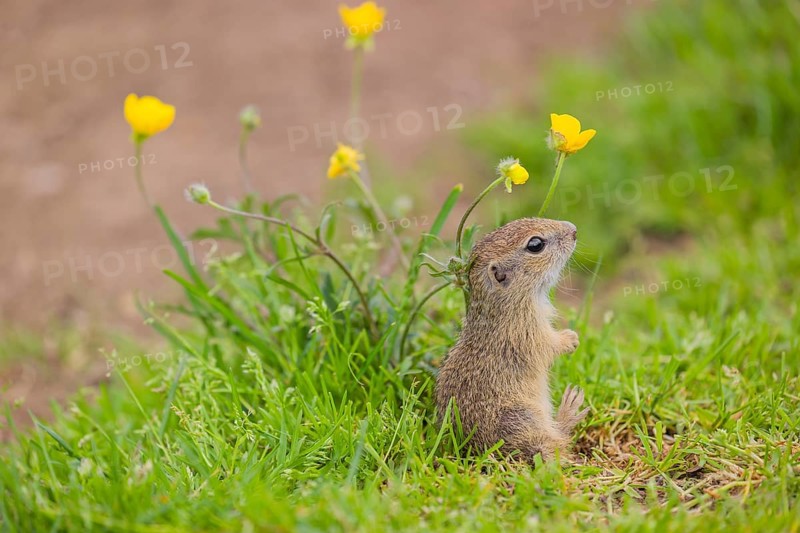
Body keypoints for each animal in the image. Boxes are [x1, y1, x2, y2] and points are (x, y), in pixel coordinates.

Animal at [435, 217, 588, 464]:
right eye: (535, 245)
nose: (573, 229)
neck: (507, 303)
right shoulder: (527, 331)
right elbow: (549, 346)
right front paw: (571, 339)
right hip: (524, 416)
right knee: (556, 441)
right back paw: (570, 409)